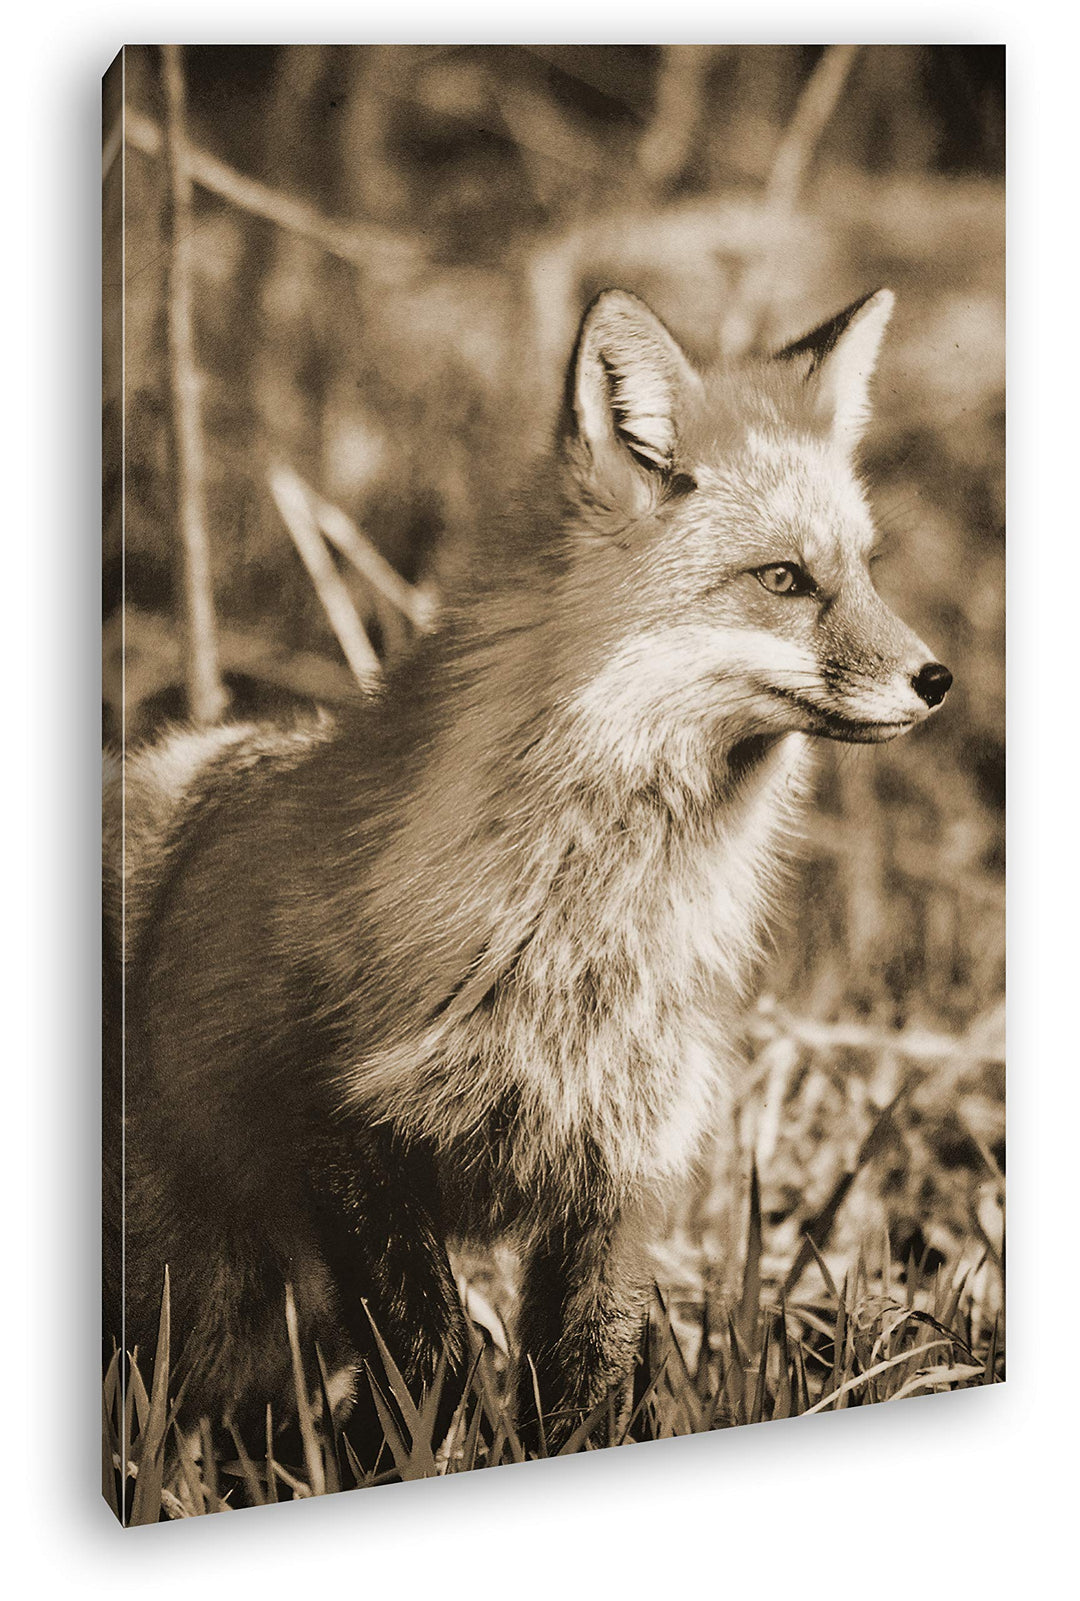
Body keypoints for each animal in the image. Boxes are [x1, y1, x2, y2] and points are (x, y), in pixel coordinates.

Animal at [103, 285, 951, 1460]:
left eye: (865, 567)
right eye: (784, 579)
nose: (938, 679)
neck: (576, 935)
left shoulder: (623, 1160)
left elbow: (581, 1377)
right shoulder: (337, 1124)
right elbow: (434, 1357)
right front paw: (412, 1456)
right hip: (199, 1287)